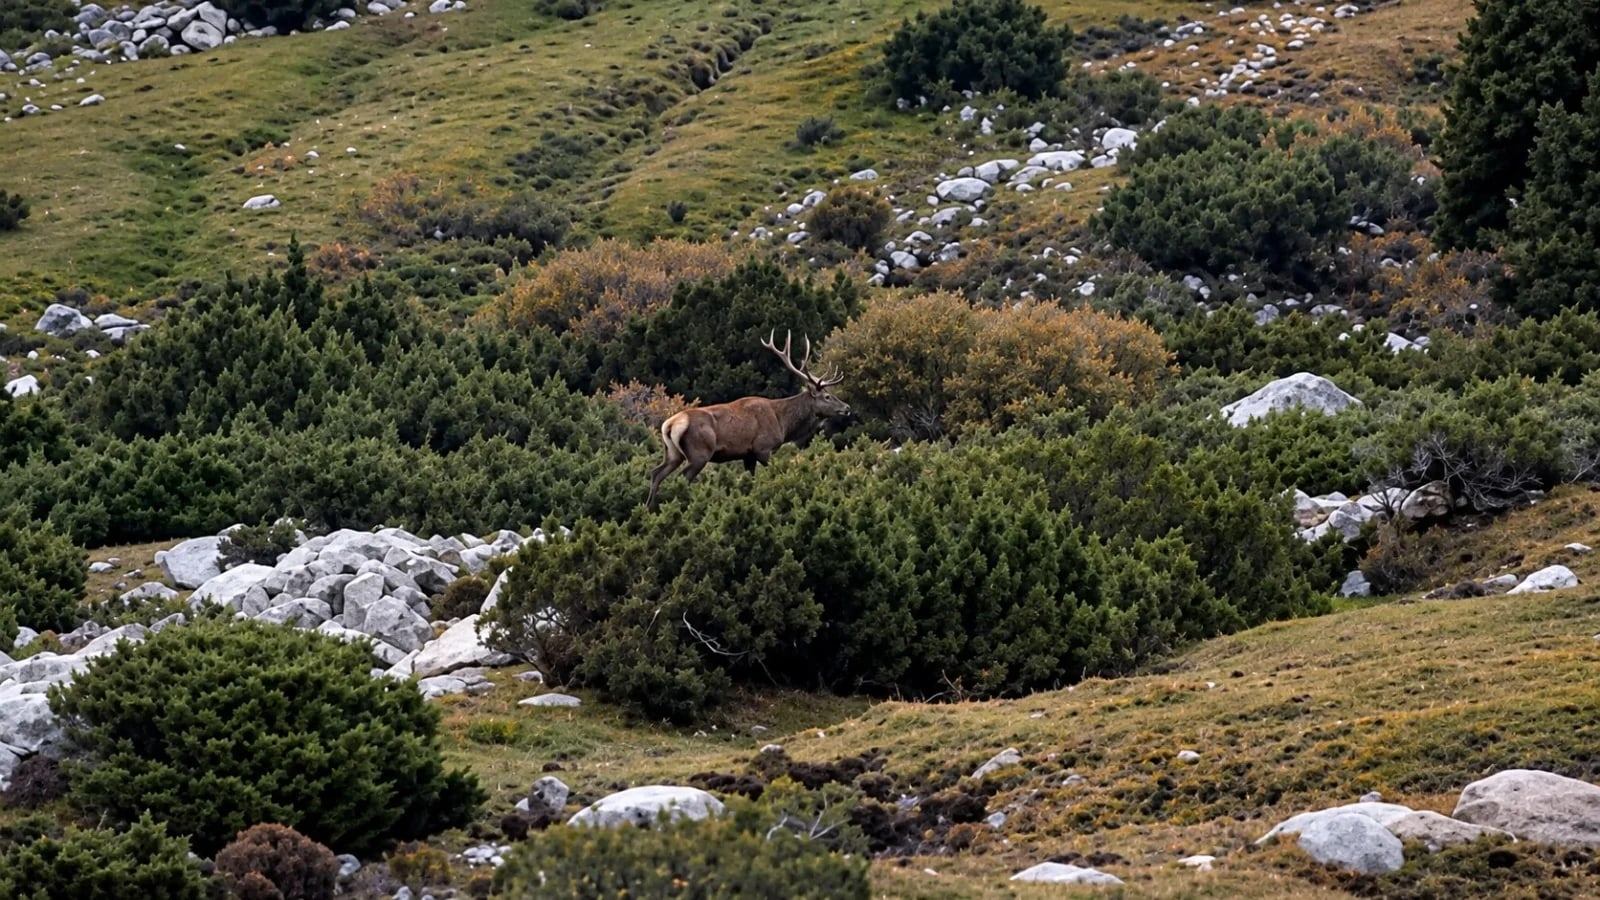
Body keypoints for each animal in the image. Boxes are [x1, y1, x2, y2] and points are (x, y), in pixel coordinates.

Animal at [646, 330, 850, 510]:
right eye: (827, 397)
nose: (847, 407)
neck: (783, 424)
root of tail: (671, 424)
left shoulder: (748, 454)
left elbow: (750, 480)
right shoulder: (763, 448)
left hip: (673, 453)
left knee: (657, 473)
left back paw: (649, 508)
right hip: (699, 452)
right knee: (682, 477)